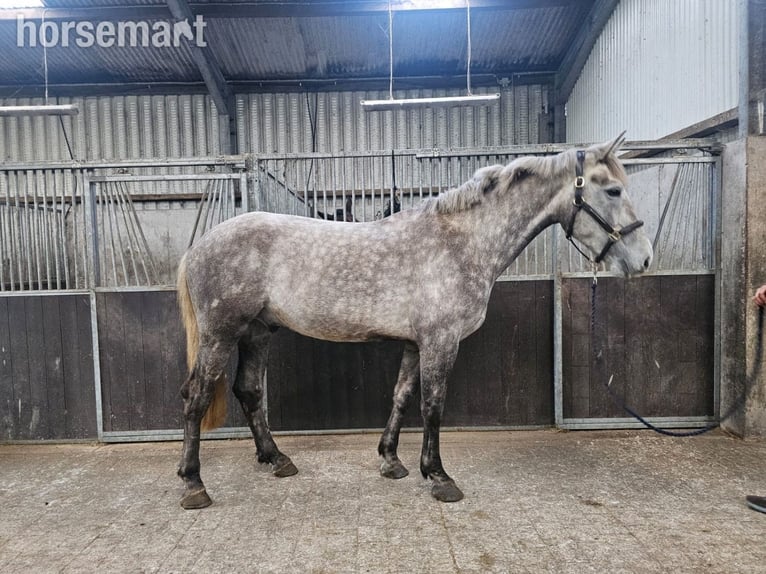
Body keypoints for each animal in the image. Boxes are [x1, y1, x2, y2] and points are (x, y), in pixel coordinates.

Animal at [175, 135, 653, 509]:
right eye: (613, 190)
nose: (644, 260)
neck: (461, 243)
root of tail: (199, 247)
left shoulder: (414, 342)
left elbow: (402, 397)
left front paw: (392, 461)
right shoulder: (441, 340)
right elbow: (432, 405)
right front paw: (439, 477)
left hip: (256, 333)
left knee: (249, 391)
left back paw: (277, 459)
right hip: (220, 335)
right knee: (197, 397)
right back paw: (193, 484)